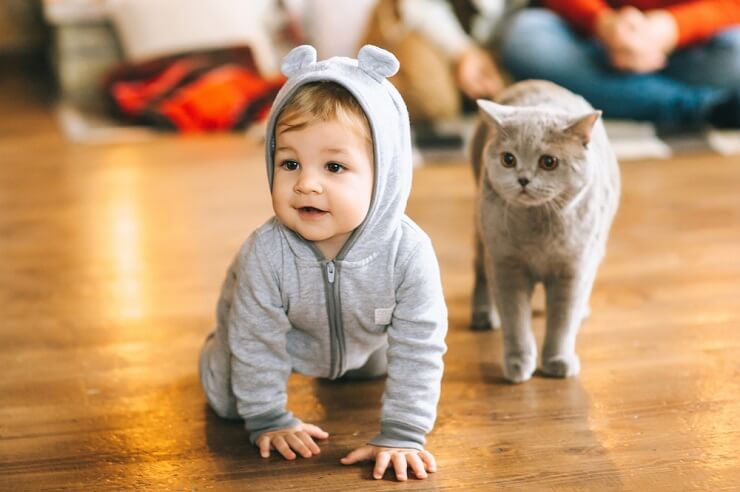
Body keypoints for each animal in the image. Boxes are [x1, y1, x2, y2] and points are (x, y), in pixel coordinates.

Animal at [472, 79, 620, 382]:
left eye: (548, 162)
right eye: (508, 159)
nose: (523, 179)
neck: (537, 232)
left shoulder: (573, 269)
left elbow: (562, 322)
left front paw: (557, 361)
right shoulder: (506, 266)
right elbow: (515, 320)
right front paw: (518, 365)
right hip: (483, 236)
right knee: (480, 271)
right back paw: (483, 315)